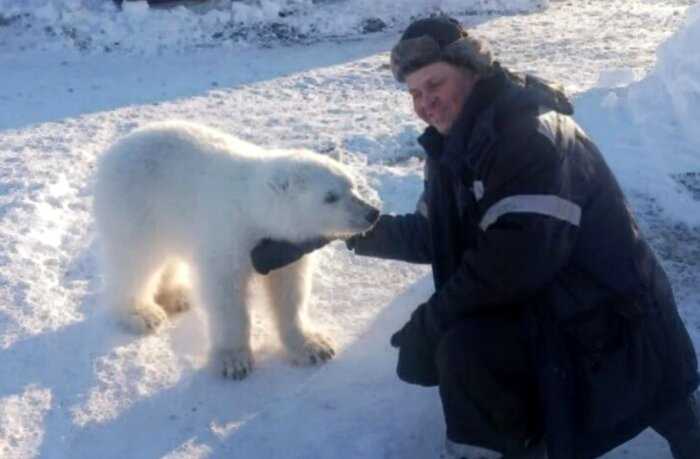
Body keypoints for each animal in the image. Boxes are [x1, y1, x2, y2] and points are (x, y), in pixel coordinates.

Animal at [95, 120, 380, 380]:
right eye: (330, 197)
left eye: (352, 186)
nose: (372, 213)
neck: (254, 208)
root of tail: (114, 151)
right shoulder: (229, 237)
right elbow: (226, 296)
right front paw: (234, 361)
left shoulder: (285, 246)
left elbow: (290, 291)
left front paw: (314, 346)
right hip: (136, 205)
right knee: (135, 261)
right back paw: (143, 313)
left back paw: (179, 296)